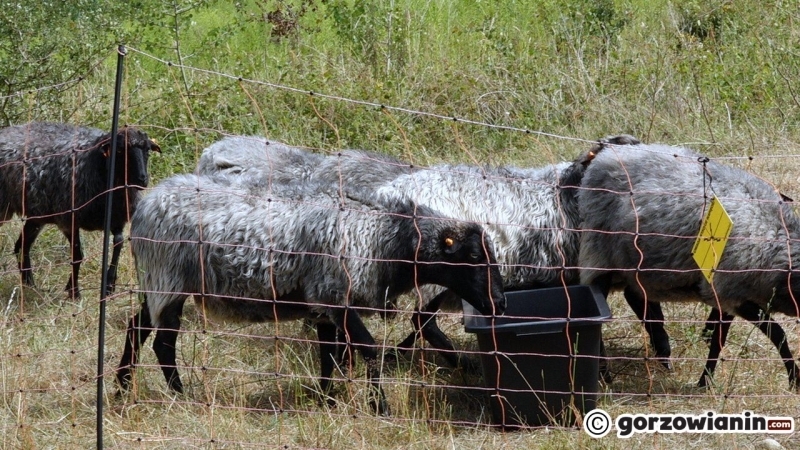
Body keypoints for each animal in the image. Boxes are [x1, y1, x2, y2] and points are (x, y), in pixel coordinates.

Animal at [0, 123, 161, 298]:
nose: (142, 179)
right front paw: (73, 291)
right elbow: (77, 256)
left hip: (37, 214)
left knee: (21, 246)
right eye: (119, 150)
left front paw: (109, 285)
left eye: (147, 150)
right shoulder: (68, 220)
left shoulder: (117, 219)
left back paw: (30, 285)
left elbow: (118, 243)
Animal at [117, 172, 506, 414]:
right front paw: (379, 407)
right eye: (474, 257)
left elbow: (329, 355)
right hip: (168, 279)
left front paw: (326, 398)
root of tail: (145, 206)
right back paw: (182, 395)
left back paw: (121, 386)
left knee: (137, 328)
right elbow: (369, 351)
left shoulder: (325, 305)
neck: (385, 236)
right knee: (163, 342)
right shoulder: (336, 295)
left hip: (157, 283)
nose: (499, 303)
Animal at [580, 142, 800, 388]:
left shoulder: (726, 294)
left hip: (634, 265)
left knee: (635, 296)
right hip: (599, 256)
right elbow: (776, 334)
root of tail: (607, 155)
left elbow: (719, 339)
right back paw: (605, 376)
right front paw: (794, 379)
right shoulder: (731, 291)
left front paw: (706, 380)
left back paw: (662, 356)